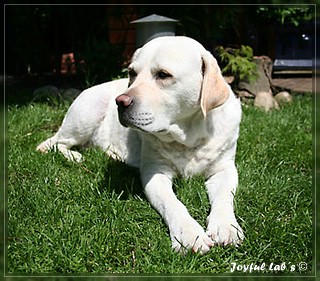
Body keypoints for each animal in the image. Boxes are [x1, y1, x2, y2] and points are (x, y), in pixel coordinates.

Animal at [36, 36, 244, 253]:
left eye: (163, 75)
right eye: (132, 73)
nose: (120, 102)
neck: (187, 138)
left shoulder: (225, 169)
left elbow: (224, 198)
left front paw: (225, 226)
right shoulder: (155, 172)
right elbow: (173, 203)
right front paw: (188, 234)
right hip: (86, 114)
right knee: (54, 143)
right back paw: (74, 156)